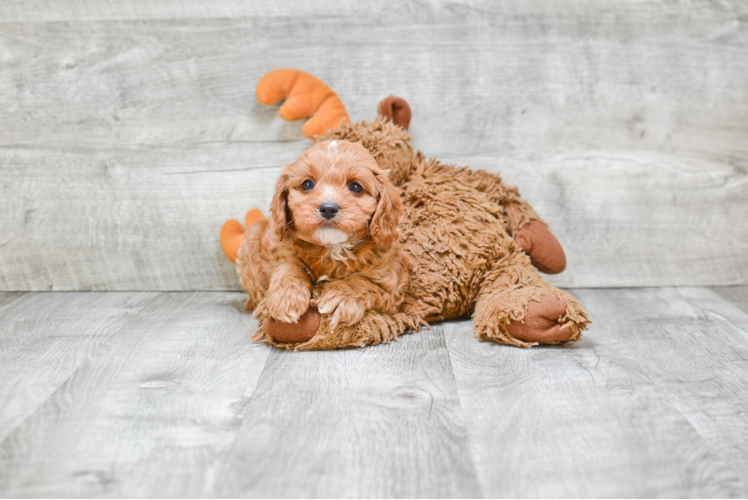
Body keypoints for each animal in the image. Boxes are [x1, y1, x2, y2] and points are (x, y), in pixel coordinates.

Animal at [237, 139, 406, 330]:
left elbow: (363, 283)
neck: (332, 248)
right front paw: (287, 297)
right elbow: (288, 266)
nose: (328, 208)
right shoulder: (281, 249)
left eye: (355, 187)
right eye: (307, 184)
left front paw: (342, 296)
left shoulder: (391, 287)